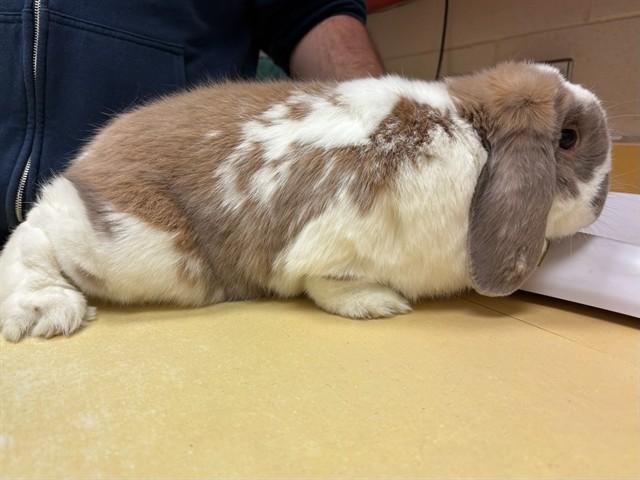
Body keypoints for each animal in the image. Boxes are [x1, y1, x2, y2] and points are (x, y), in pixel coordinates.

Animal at [0, 61, 611, 341]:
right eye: (568, 139)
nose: (603, 203)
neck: (469, 135)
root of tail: (89, 160)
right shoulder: (335, 239)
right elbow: (326, 281)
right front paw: (378, 304)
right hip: (138, 246)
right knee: (33, 233)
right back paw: (46, 311)